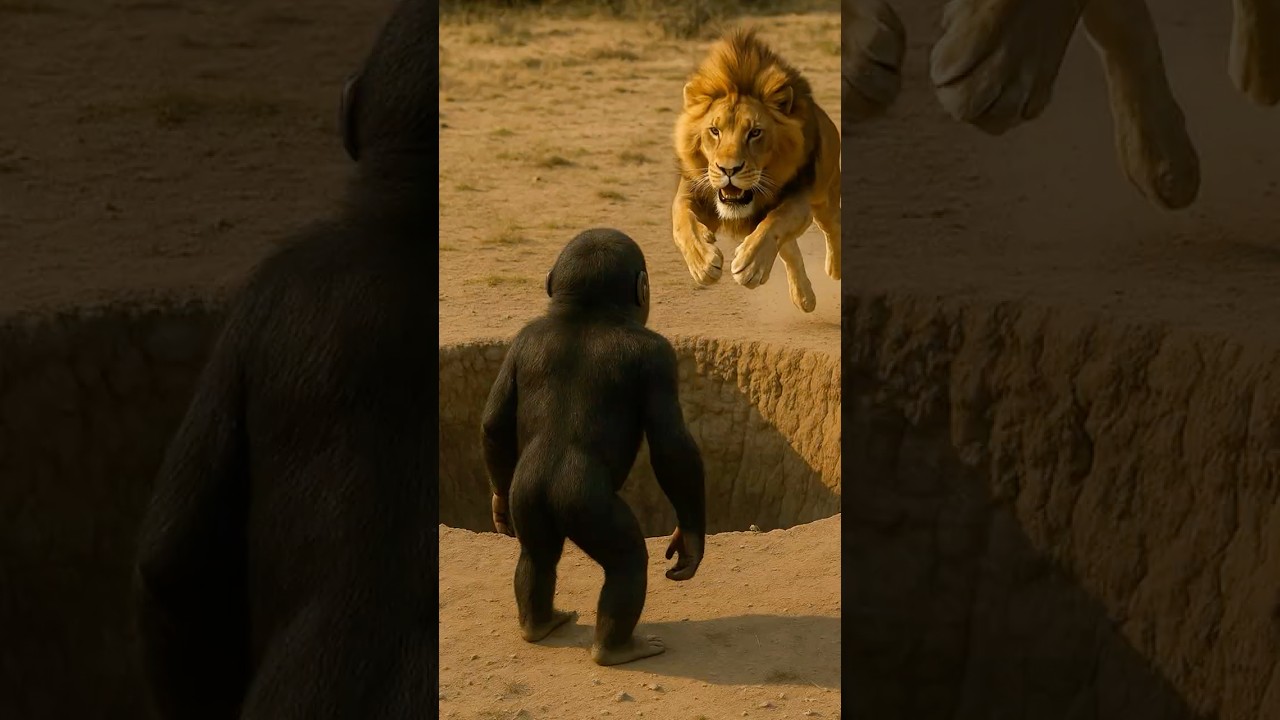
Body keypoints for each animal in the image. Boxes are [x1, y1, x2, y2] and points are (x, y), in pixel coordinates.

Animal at [481, 228, 708, 667]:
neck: (586, 312)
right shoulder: (660, 357)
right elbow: (672, 447)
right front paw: (691, 541)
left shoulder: (520, 340)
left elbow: (495, 423)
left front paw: (496, 505)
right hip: (588, 507)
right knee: (628, 561)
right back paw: (617, 648)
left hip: (530, 504)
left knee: (537, 556)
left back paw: (540, 623)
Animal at [671, 29, 841, 313]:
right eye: (714, 131)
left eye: (754, 133)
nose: (728, 169)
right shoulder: (696, 187)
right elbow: (681, 220)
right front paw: (702, 264)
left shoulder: (798, 197)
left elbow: (775, 222)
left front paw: (749, 265)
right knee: (789, 249)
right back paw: (804, 297)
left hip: (824, 195)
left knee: (832, 226)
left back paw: (835, 269)